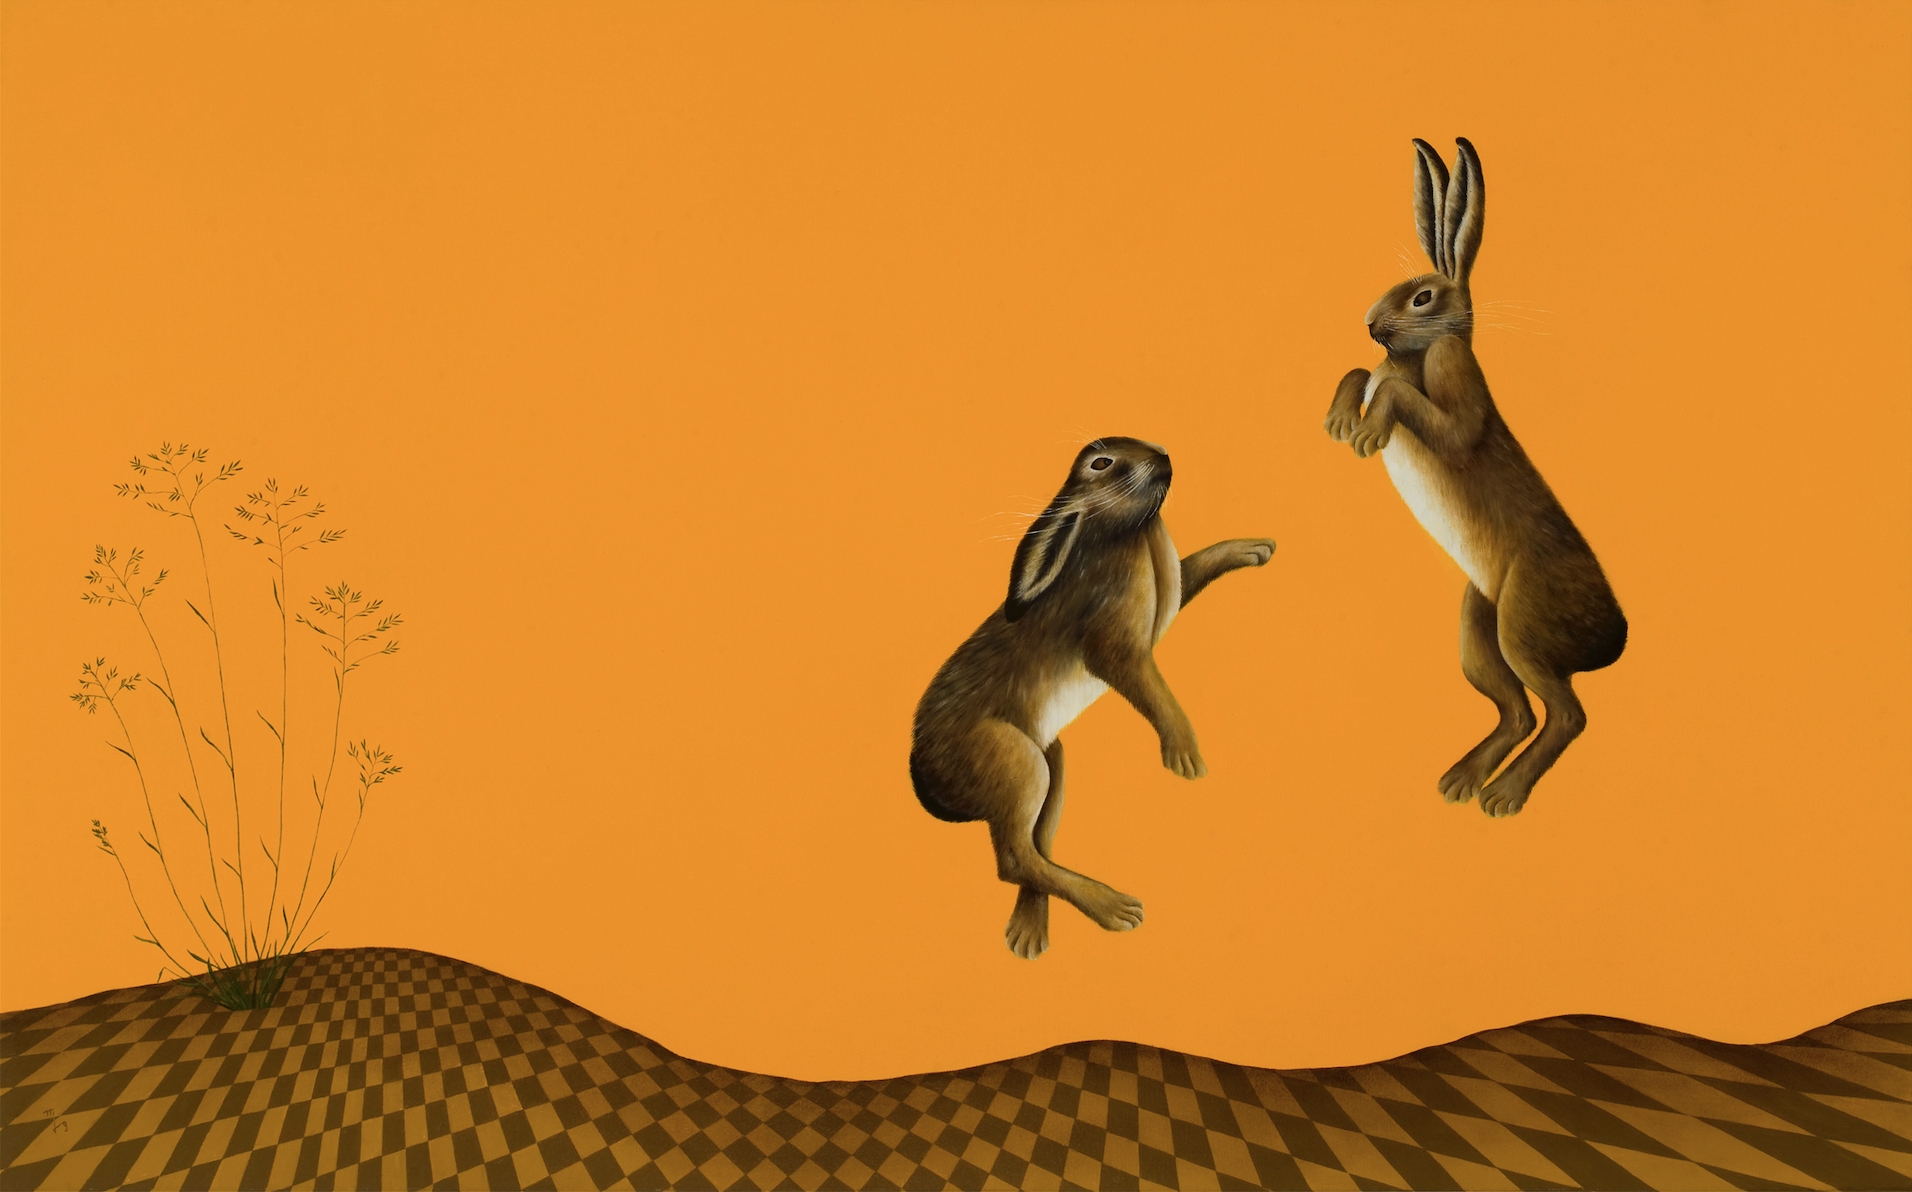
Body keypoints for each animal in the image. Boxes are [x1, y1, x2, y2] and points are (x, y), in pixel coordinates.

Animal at [910, 437, 1276, 959]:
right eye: (1100, 464)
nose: (1163, 454)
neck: (1130, 533)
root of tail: (923, 775)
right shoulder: (1118, 651)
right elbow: (1156, 693)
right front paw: (1185, 756)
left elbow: (1199, 562)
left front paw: (1256, 548)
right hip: (1013, 760)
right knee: (1014, 859)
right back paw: (1115, 910)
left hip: (1050, 761)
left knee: (1034, 848)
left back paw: (1031, 929)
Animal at [1323, 137, 1626, 817]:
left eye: (1422, 299)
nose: (1369, 322)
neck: (1413, 352)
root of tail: (1614, 639)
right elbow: (1360, 372)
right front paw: (1340, 423)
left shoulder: (1452, 377)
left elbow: (1413, 406)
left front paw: (1367, 436)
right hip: (1475, 627)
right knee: (1518, 713)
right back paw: (1460, 783)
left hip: (1521, 622)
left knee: (1566, 715)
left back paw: (1503, 798)